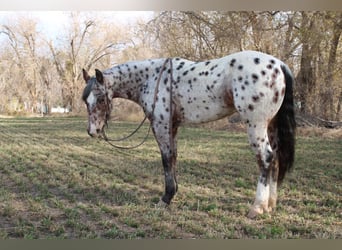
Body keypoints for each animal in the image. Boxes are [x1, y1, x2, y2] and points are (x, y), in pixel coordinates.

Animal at [81, 49, 296, 218]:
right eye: (86, 100)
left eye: (101, 99)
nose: (93, 131)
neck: (150, 78)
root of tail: (279, 65)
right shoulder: (173, 127)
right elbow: (173, 158)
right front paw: (173, 193)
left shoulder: (161, 126)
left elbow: (166, 159)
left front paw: (165, 199)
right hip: (270, 126)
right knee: (275, 160)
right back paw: (270, 205)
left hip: (256, 125)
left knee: (265, 158)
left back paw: (257, 208)